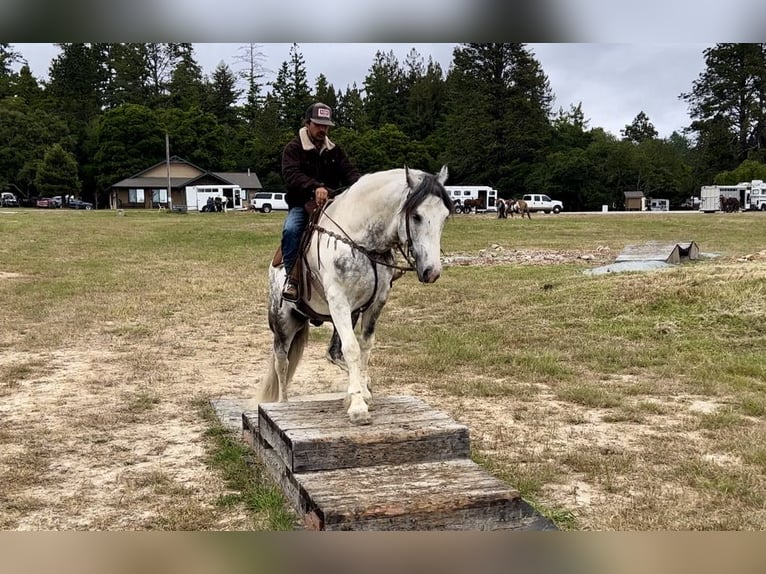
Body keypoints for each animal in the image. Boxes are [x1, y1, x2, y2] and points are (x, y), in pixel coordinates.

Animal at [255, 166, 453, 425]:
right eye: (417, 216)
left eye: (445, 216)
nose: (432, 271)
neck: (362, 242)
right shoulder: (338, 300)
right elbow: (352, 349)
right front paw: (358, 407)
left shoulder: (375, 303)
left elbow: (365, 345)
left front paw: (362, 393)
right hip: (284, 323)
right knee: (282, 362)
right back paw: (283, 404)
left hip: (346, 315)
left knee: (331, 353)